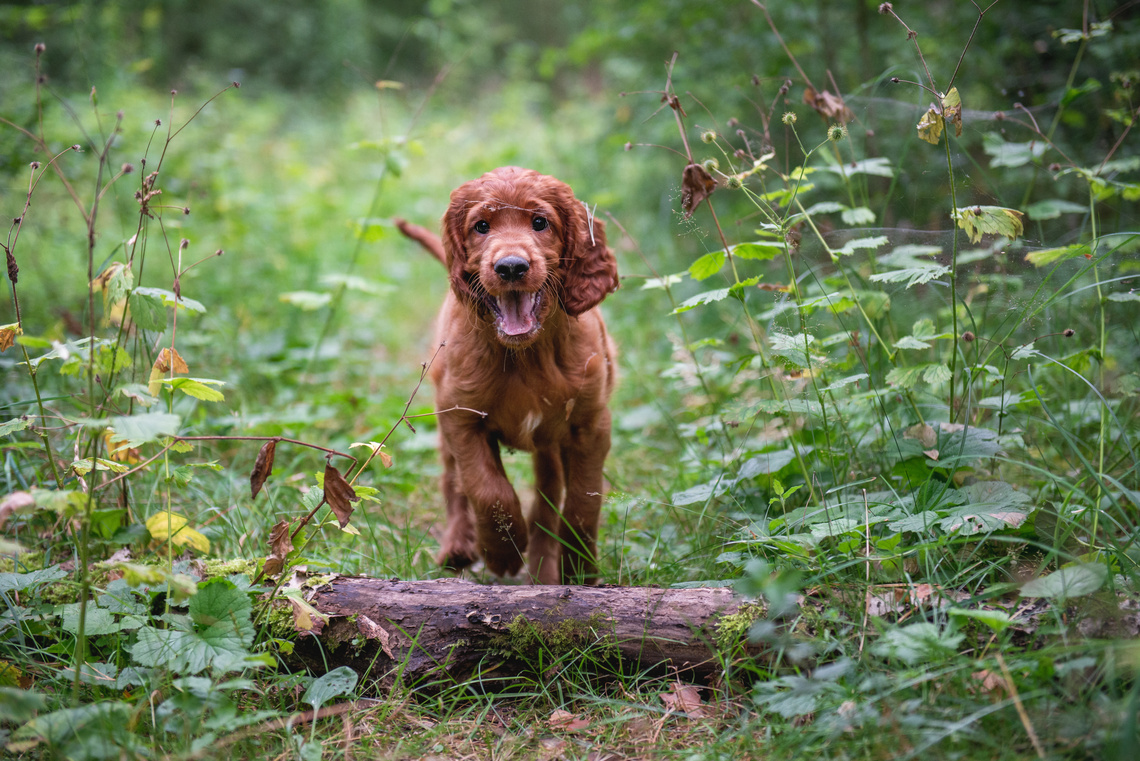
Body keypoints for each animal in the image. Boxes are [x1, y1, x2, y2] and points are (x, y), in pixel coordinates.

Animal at [396, 166, 620, 583]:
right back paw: (459, 546)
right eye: (481, 226)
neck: (525, 355)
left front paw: (579, 568)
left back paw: (544, 562)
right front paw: (503, 553)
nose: (511, 267)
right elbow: (487, 490)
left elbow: (583, 501)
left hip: (550, 443)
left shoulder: (590, 423)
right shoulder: (462, 420)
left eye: (540, 222)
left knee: (548, 493)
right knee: (453, 482)